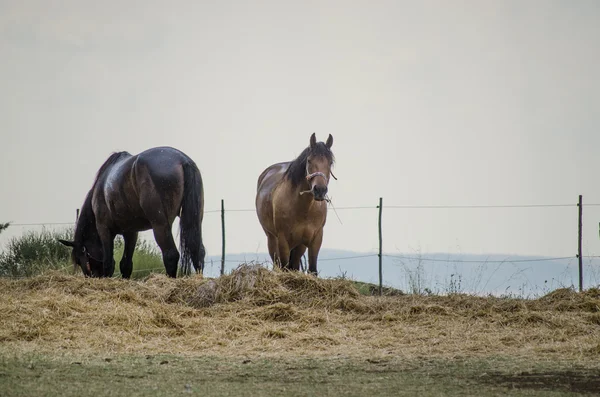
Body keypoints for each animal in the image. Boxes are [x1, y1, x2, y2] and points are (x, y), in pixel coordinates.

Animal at [58, 146, 205, 278]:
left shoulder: (104, 228)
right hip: (194, 221)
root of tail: (183, 160)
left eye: (79, 259)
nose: (92, 276)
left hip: (160, 224)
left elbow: (109, 263)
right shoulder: (131, 232)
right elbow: (126, 264)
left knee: (170, 255)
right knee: (199, 252)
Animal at [255, 131, 336, 274]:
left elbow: (312, 270)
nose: (320, 190)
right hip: (272, 238)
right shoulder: (283, 240)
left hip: (299, 245)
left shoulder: (316, 239)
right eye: (309, 160)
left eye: (330, 162)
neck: (303, 208)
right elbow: (284, 267)